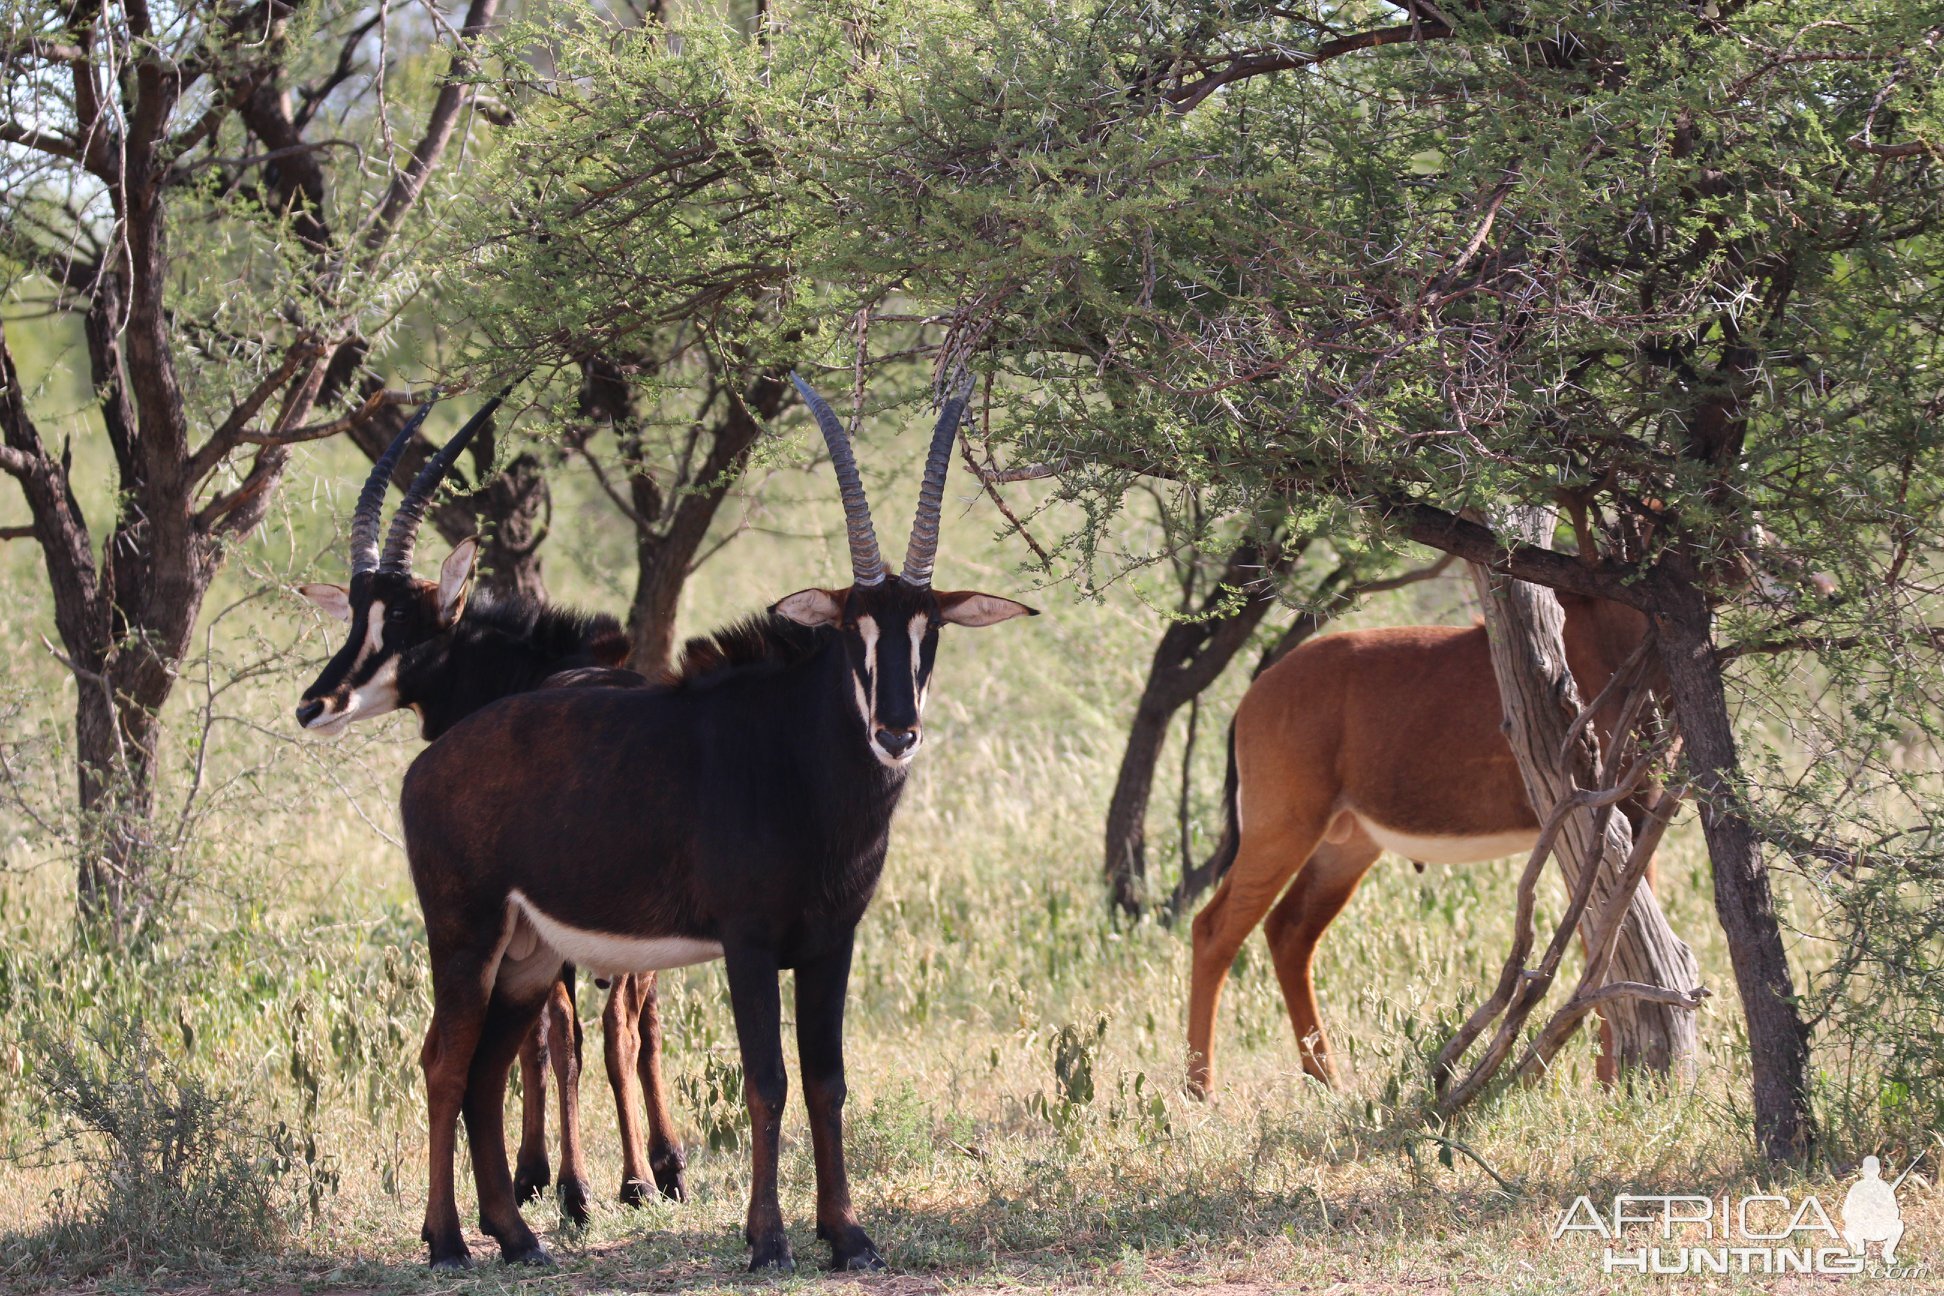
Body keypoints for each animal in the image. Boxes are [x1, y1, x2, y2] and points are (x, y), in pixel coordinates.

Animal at [287, 392, 684, 1220]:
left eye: (404, 626)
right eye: (354, 619)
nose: (315, 706)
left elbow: (551, 1035)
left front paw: (556, 1180)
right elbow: (557, 1033)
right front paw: (548, 1173)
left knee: (598, 1029)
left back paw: (617, 1181)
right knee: (637, 1020)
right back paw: (659, 1168)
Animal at [390, 369, 1034, 1274]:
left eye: (929, 629)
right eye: (853, 628)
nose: (896, 732)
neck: (800, 763)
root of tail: (428, 764)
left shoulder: (832, 943)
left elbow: (827, 1079)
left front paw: (848, 1235)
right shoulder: (749, 942)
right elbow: (766, 1080)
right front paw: (768, 1240)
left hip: (525, 957)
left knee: (484, 1071)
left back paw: (519, 1239)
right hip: (464, 936)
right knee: (445, 1066)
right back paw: (448, 1241)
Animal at [1181, 594, 1656, 1095]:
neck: (1608, 626)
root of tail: (1256, 694)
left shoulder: (1636, 816)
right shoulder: (1610, 815)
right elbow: (1609, 942)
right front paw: (1619, 1085)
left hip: (1344, 848)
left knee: (1289, 931)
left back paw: (1327, 1080)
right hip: (1283, 829)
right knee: (1215, 929)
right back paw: (1201, 1089)